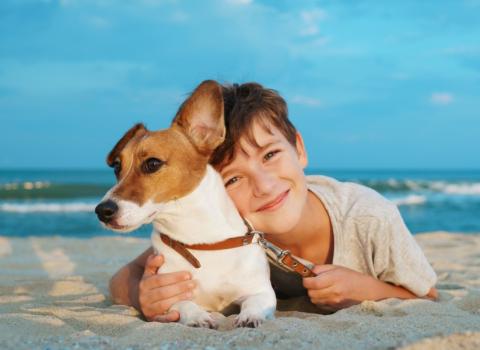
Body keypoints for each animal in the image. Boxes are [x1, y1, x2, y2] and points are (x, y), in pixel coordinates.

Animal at [95, 79, 276, 328]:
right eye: (116, 167)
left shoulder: (262, 292)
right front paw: (198, 316)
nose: (102, 211)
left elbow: (256, 302)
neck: (200, 241)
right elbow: (184, 304)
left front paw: (250, 316)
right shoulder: (168, 294)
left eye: (152, 163)